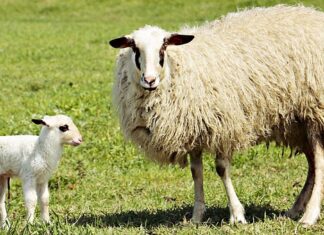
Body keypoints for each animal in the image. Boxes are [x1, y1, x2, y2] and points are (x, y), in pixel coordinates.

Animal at [109, 5, 324, 226]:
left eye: (163, 47)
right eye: (135, 49)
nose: (149, 80)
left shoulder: (224, 124)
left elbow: (221, 169)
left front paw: (237, 215)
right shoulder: (193, 128)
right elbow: (196, 172)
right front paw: (197, 216)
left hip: (315, 112)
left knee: (319, 162)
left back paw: (309, 215)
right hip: (297, 124)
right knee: (313, 165)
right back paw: (295, 209)